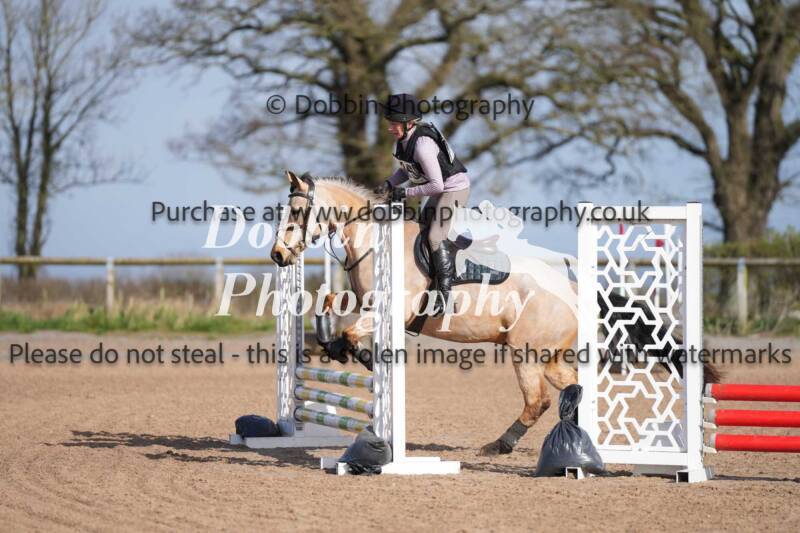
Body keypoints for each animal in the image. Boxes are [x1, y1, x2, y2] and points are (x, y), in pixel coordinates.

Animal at [270, 171, 719, 456]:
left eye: (297, 213)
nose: (277, 255)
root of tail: (574, 289)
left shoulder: (391, 310)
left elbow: (353, 334)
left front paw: (359, 358)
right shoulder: (364, 303)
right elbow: (332, 307)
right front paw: (332, 347)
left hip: (526, 351)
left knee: (537, 401)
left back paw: (500, 445)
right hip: (548, 356)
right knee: (572, 389)